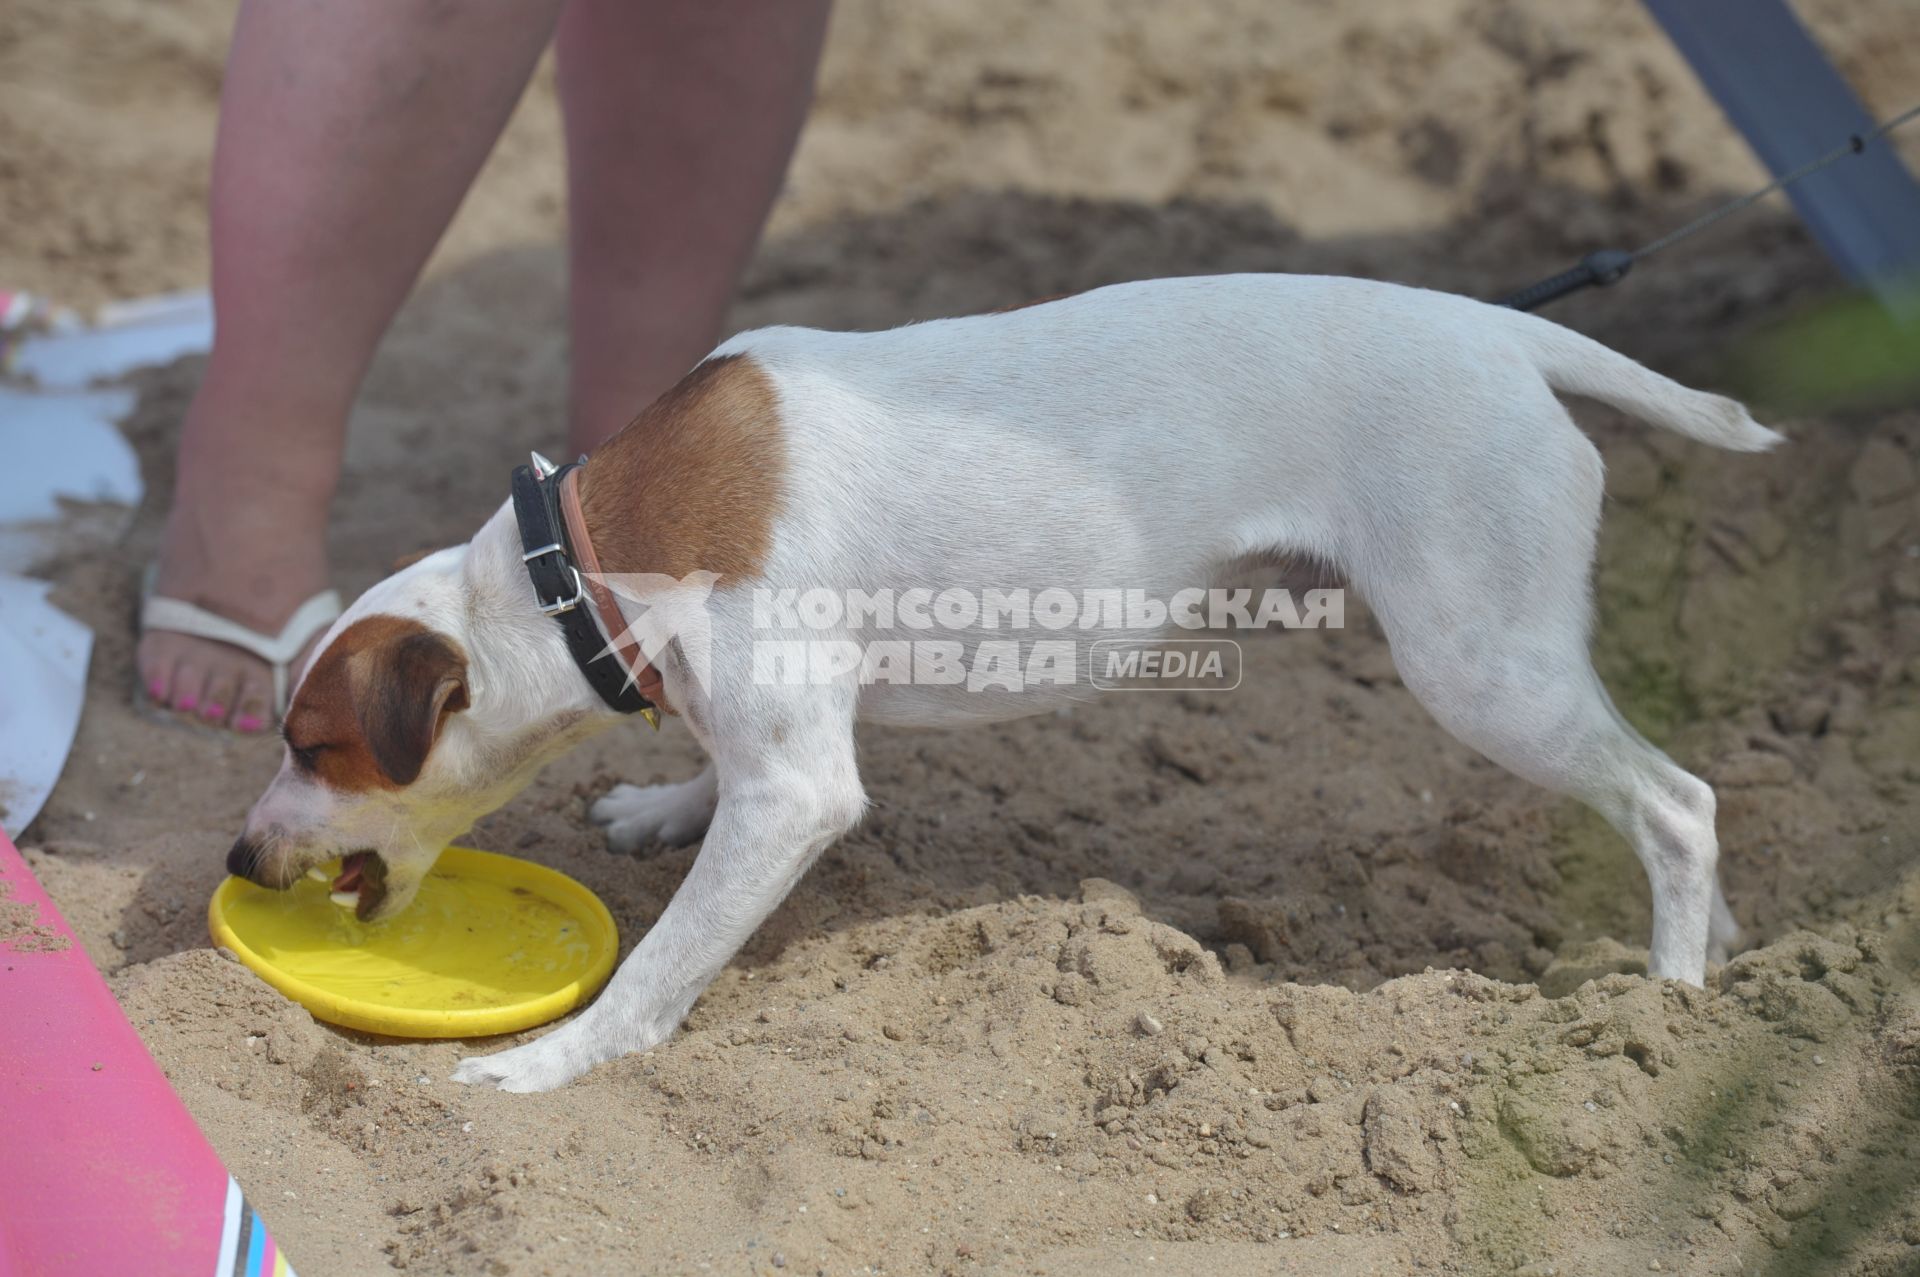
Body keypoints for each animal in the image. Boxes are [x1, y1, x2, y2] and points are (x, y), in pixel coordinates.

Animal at [228, 274, 1781, 1090]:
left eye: (314, 745)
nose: (239, 856)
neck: (592, 553)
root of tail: (1501, 328)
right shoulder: (769, 742)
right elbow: (713, 781)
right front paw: (668, 806)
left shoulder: (798, 792)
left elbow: (666, 962)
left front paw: (559, 1059)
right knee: (1681, 810)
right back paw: (1725, 951)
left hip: (1479, 665)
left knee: (1679, 802)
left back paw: (1663, 1008)